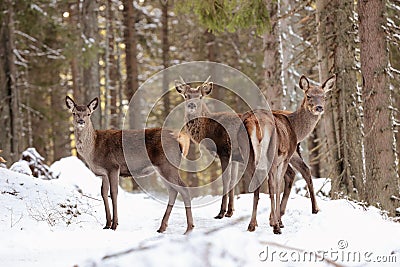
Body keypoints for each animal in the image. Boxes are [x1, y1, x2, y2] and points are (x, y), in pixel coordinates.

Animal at [65, 96, 194, 234]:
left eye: (88, 114)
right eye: (74, 113)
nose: (81, 121)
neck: (93, 149)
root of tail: (180, 141)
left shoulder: (113, 166)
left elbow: (113, 193)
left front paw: (114, 225)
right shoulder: (104, 173)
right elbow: (104, 193)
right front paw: (107, 224)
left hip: (168, 165)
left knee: (183, 189)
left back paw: (189, 228)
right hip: (163, 168)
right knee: (173, 191)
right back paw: (162, 227)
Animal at [244, 75, 334, 234]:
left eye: (323, 96)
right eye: (308, 95)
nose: (319, 108)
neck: (295, 128)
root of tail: (254, 122)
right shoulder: (286, 156)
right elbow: (278, 183)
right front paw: (276, 221)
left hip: (250, 155)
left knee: (256, 184)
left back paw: (252, 224)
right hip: (272, 154)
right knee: (275, 183)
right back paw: (276, 224)